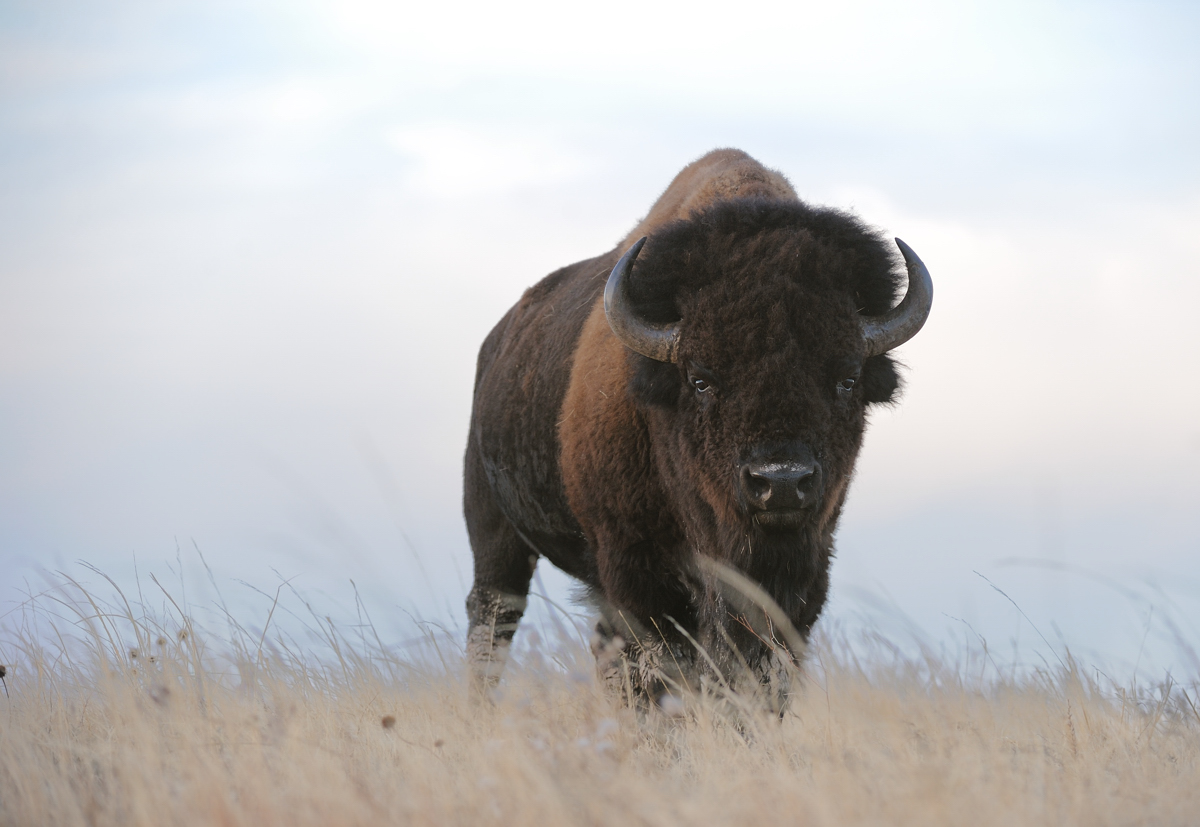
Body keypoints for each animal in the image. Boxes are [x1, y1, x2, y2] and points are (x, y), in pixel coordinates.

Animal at [463, 149, 932, 707]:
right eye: (701, 379)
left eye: (847, 379)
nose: (781, 483)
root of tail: (496, 340)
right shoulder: (637, 572)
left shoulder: (804, 571)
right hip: (495, 532)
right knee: (493, 620)